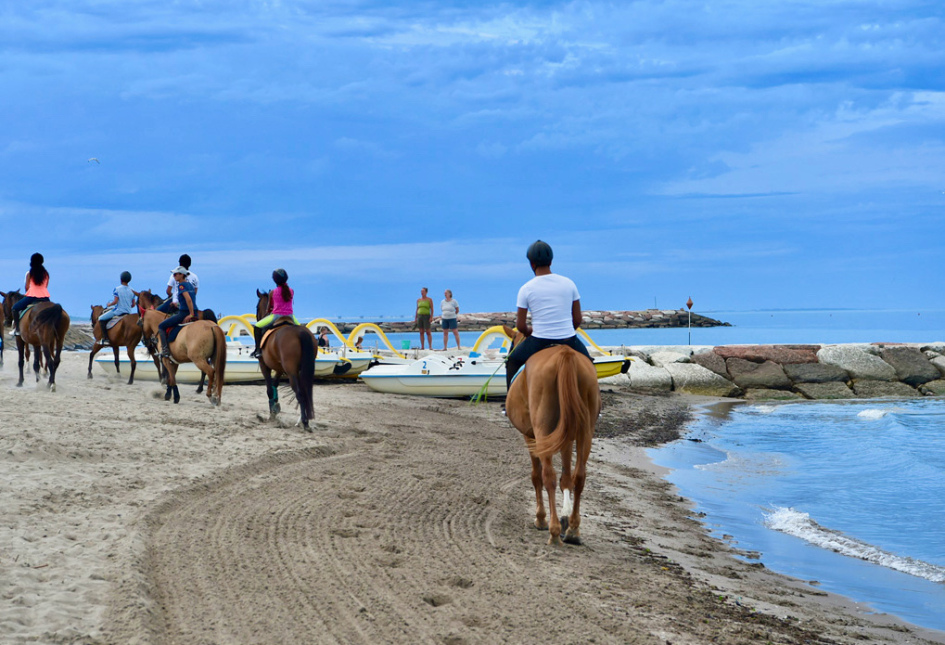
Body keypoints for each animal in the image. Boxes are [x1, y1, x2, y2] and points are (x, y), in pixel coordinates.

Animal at [502, 328, 596, 544]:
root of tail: (564, 354)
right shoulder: (565, 436)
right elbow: (567, 478)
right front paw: (565, 518)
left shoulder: (530, 436)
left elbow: (536, 476)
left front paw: (542, 518)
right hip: (585, 431)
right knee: (579, 476)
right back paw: (573, 530)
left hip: (543, 431)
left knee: (548, 476)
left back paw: (553, 530)